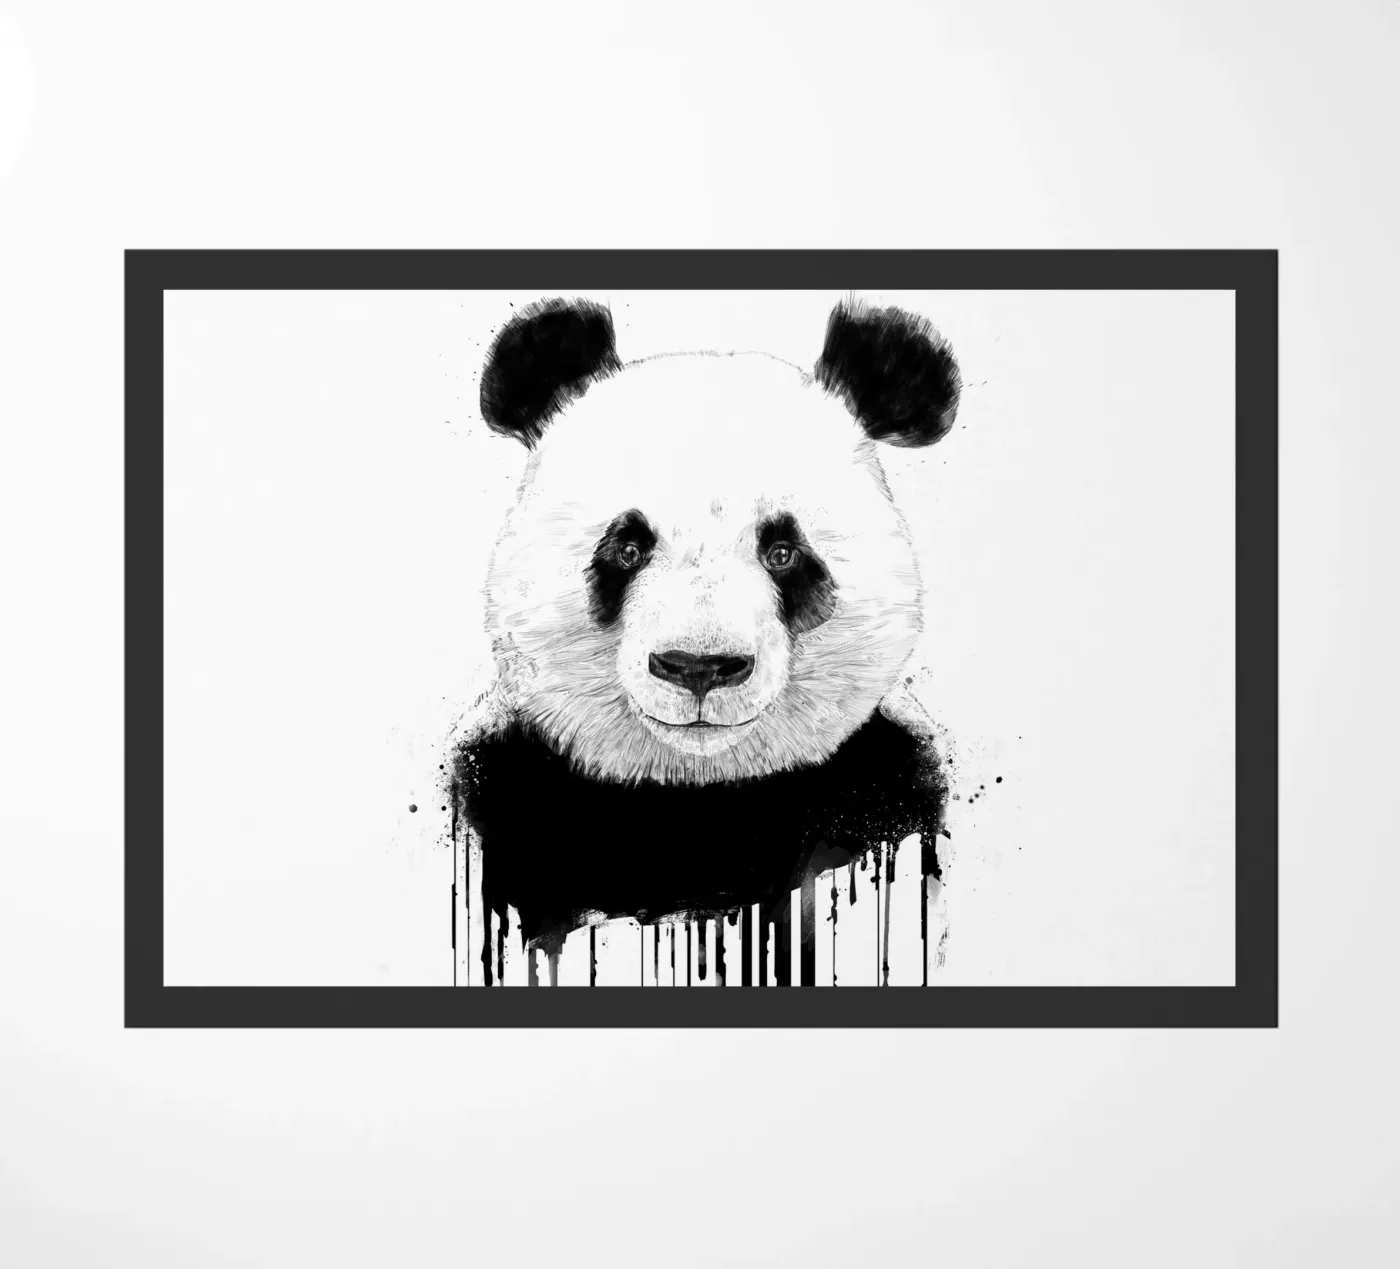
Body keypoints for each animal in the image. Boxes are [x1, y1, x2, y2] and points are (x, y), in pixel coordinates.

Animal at [448, 296, 962, 984]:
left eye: (783, 551)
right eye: (627, 547)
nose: (698, 667)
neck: (698, 799)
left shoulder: (881, 785)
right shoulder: (512, 788)